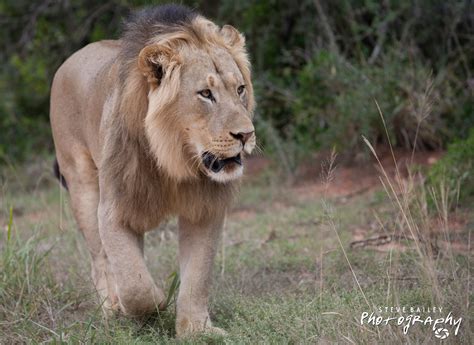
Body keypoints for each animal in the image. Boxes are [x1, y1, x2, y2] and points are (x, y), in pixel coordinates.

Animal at [49, 3, 256, 336]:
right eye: (205, 94)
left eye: (239, 89)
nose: (246, 135)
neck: (175, 157)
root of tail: (72, 58)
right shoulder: (115, 209)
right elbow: (135, 284)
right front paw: (155, 304)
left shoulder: (205, 208)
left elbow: (197, 275)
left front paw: (195, 329)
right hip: (81, 182)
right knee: (100, 259)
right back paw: (111, 309)